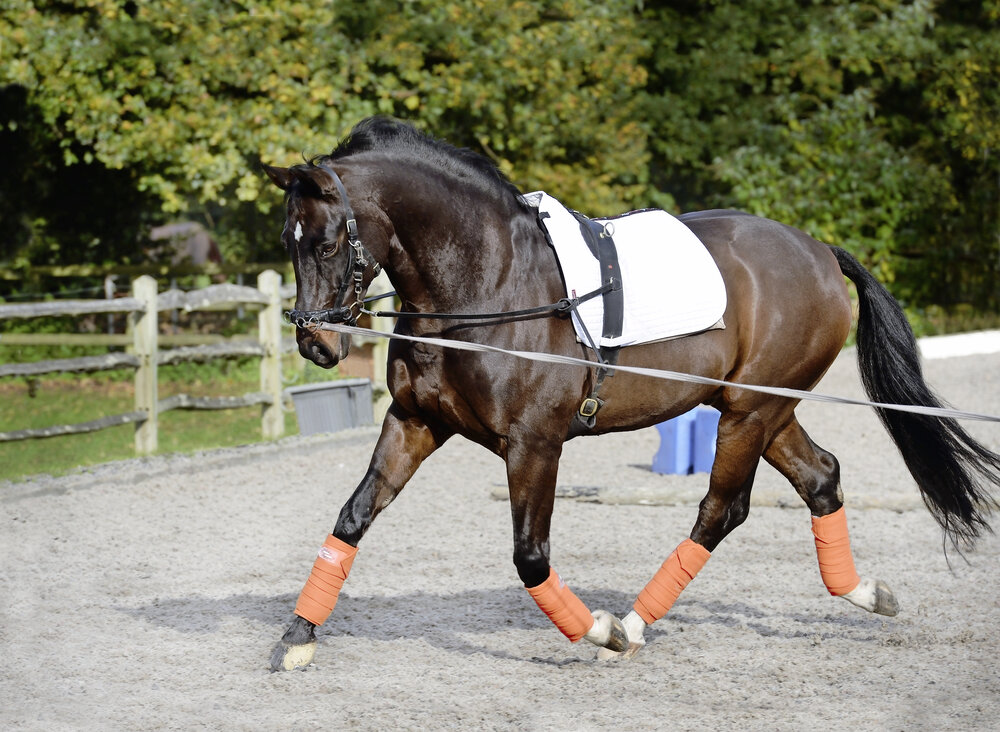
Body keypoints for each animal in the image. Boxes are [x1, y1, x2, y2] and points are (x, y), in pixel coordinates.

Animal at [262, 117, 999, 671]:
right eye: (288, 242)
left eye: (326, 244)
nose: (316, 345)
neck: (485, 281)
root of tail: (818, 249)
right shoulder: (414, 422)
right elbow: (352, 518)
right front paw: (298, 637)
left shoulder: (535, 444)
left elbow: (530, 557)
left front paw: (600, 631)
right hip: (759, 407)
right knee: (820, 478)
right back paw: (866, 594)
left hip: (751, 412)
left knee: (721, 511)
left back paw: (635, 625)